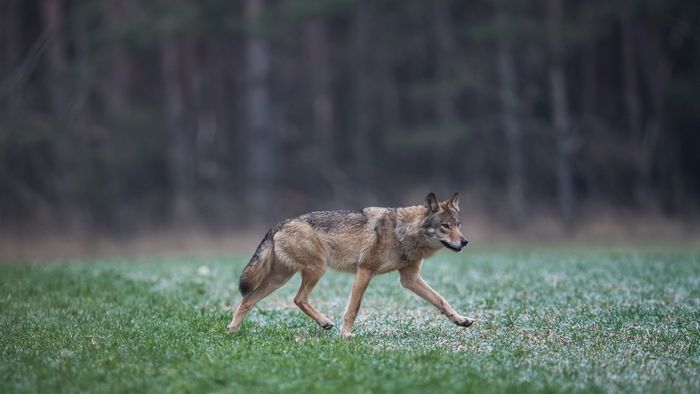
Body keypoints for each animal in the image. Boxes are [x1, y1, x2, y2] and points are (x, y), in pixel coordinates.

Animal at [227, 192, 474, 338]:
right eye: (445, 226)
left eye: (459, 225)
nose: (464, 242)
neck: (402, 232)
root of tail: (278, 225)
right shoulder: (364, 272)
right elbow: (353, 309)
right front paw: (346, 336)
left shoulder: (409, 279)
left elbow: (441, 300)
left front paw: (461, 320)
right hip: (316, 269)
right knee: (298, 299)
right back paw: (325, 323)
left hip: (280, 279)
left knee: (248, 300)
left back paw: (232, 331)